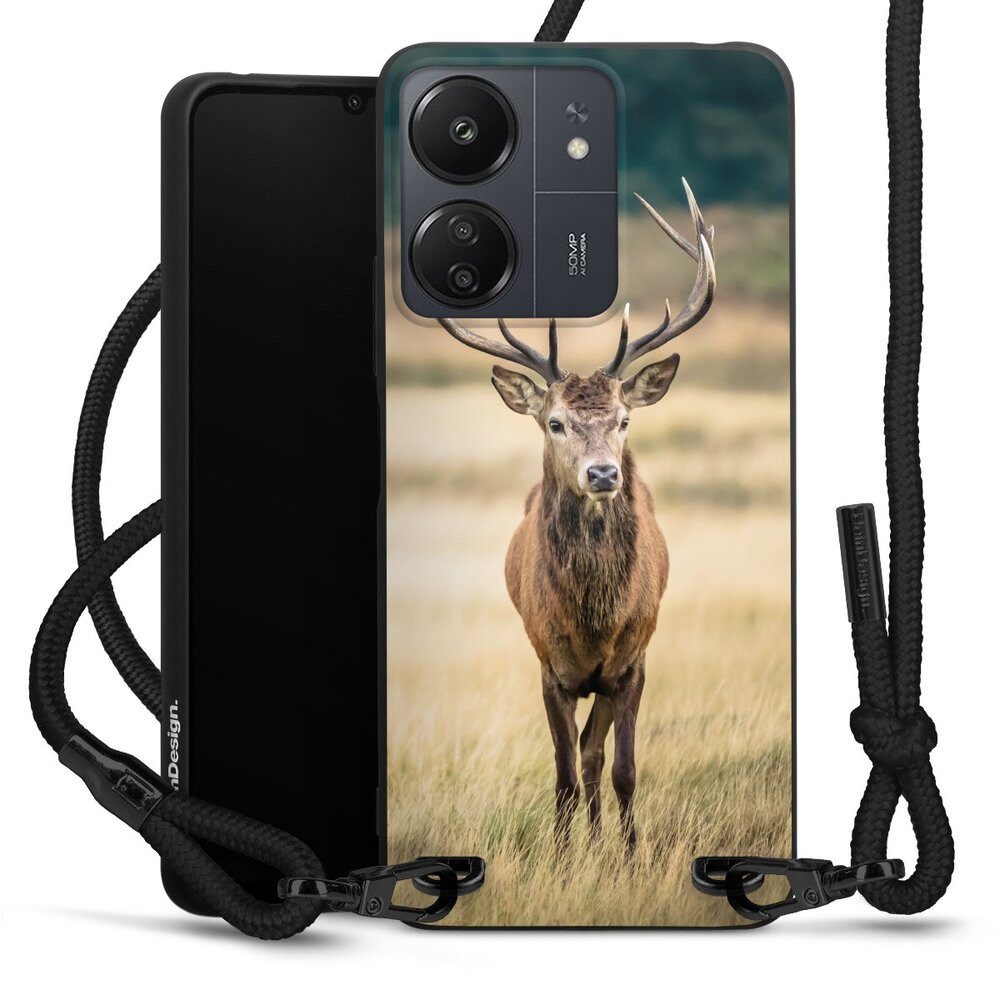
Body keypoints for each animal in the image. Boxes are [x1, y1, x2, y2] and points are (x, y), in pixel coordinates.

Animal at [438, 180, 716, 855]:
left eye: (624, 420)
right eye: (556, 422)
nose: (604, 474)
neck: (594, 620)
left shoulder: (634, 660)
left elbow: (622, 769)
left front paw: (630, 856)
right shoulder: (548, 664)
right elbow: (563, 773)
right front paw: (565, 859)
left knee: (596, 755)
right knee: (580, 758)